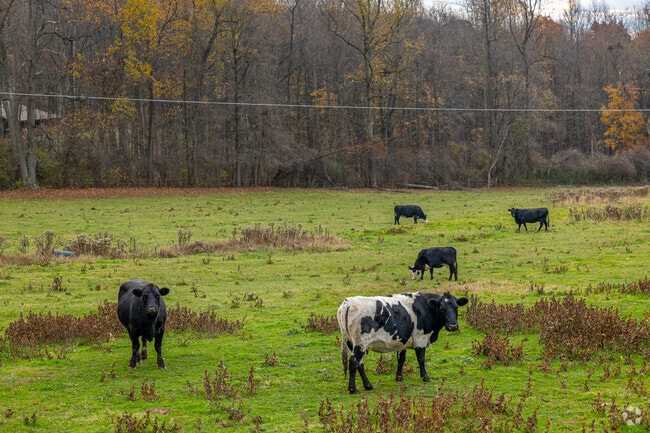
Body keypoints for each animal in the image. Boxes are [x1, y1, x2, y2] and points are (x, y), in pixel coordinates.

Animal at [337, 292, 469, 394]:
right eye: (442, 309)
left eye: (456, 308)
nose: (453, 326)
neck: (425, 308)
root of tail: (348, 302)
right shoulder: (420, 339)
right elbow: (421, 359)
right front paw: (425, 377)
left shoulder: (402, 340)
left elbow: (401, 359)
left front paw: (399, 377)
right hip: (361, 343)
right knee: (354, 362)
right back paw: (353, 389)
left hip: (351, 343)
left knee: (359, 363)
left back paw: (368, 385)